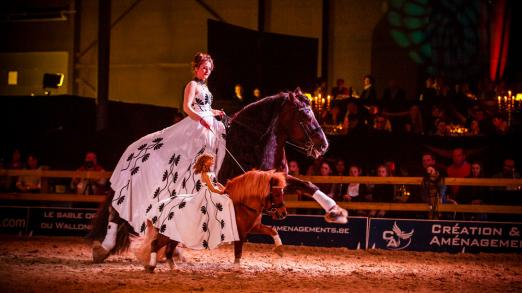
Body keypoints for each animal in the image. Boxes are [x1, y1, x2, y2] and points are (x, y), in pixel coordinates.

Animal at [139, 169, 284, 272]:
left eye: (282, 193)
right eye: (276, 194)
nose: (283, 214)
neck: (243, 204)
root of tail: (161, 205)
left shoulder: (255, 227)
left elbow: (273, 231)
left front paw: (280, 249)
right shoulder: (240, 233)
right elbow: (238, 250)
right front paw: (237, 267)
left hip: (174, 235)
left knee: (168, 251)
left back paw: (174, 268)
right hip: (166, 234)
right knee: (155, 245)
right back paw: (151, 267)